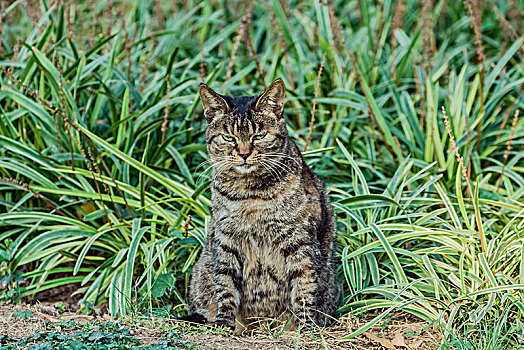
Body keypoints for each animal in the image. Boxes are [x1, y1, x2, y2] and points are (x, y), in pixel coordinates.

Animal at [188, 79, 340, 330]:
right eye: (228, 138)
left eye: (258, 136)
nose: (244, 154)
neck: (250, 195)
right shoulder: (226, 240)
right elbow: (225, 285)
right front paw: (224, 322)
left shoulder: (300, 241)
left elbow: (304, 285)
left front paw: (304, 326)